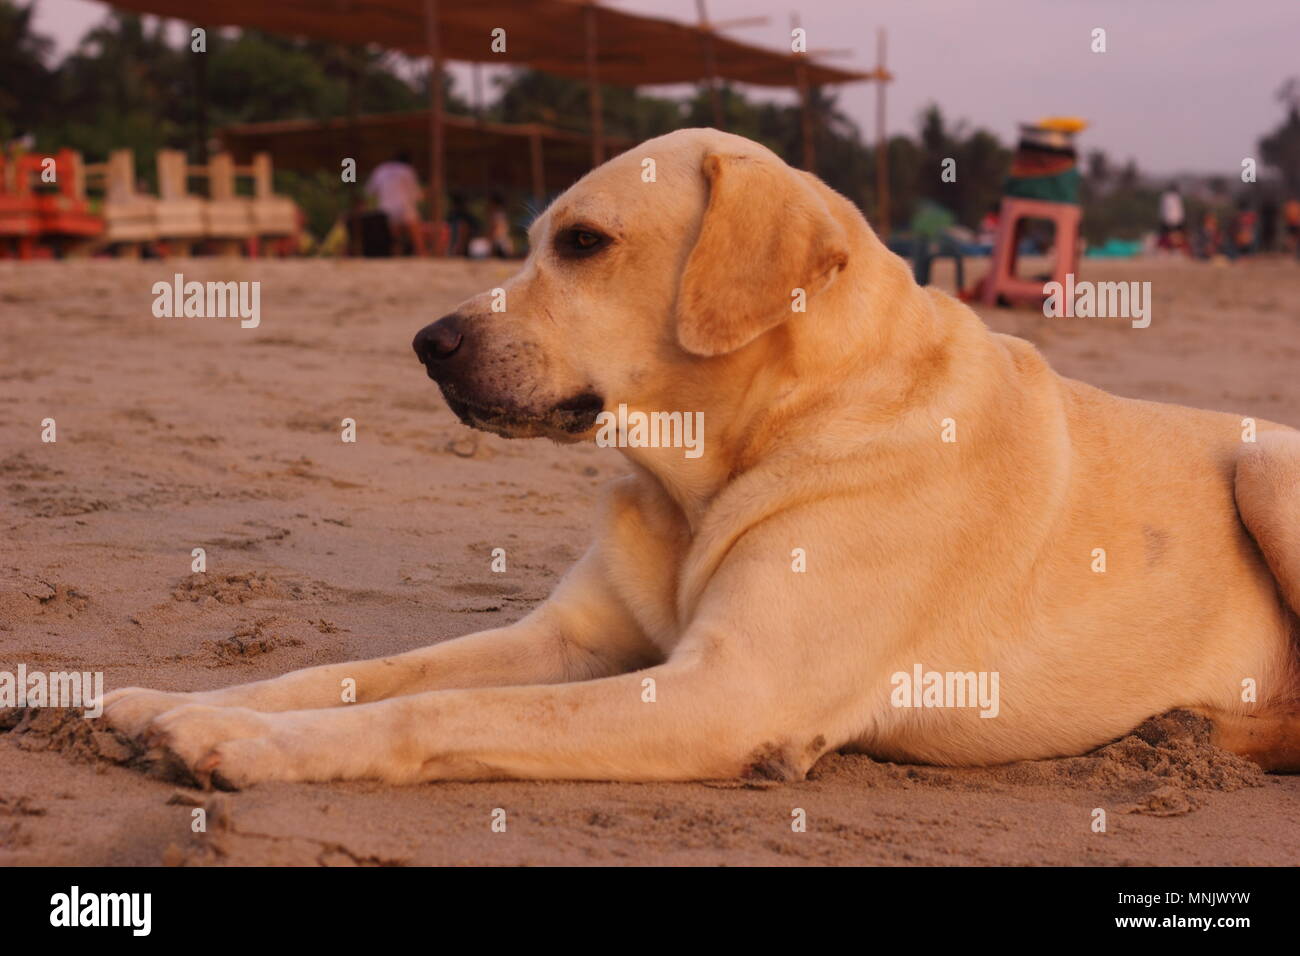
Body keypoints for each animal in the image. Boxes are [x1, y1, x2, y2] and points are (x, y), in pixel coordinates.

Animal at [104, 127, 1300, 785]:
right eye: (528, 240)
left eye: (582, 243)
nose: (427, 345)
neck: (721, 458)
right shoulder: (572, 640)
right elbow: (363, 673)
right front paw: (179, 700)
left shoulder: (726, 689)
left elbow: (432, 711)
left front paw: (242, 746)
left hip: (1265, 467)